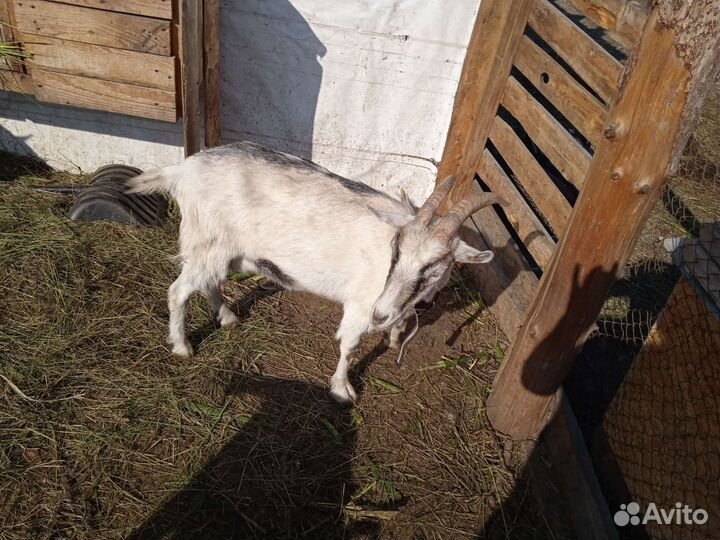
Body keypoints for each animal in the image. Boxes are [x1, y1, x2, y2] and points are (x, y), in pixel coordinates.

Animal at [127, 141, 503, 404]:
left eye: (434, 267)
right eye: (396, 251)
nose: (380, 315)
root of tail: (182, 170)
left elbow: (401, 320)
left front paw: (395, 336)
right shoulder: (361, 305)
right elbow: (349, 346)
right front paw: (342, 390)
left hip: (224, 250)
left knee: (209, 283)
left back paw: (227, 317)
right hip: (207, 242)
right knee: (178, 291)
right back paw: (182, 346)